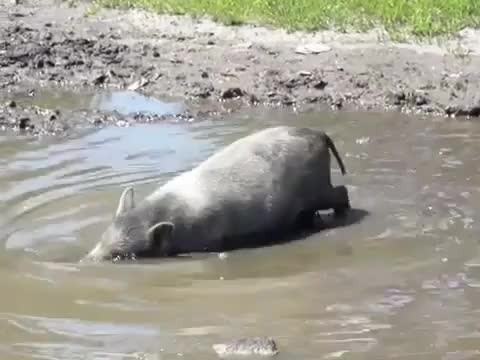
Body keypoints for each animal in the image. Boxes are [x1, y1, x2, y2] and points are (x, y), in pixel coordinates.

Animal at [82, 126, 350, 262]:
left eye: (120, 255)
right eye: (101, 238)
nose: (85, 261)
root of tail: (318, 133)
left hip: (318, 187)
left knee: (341, 192)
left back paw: (341, 216)